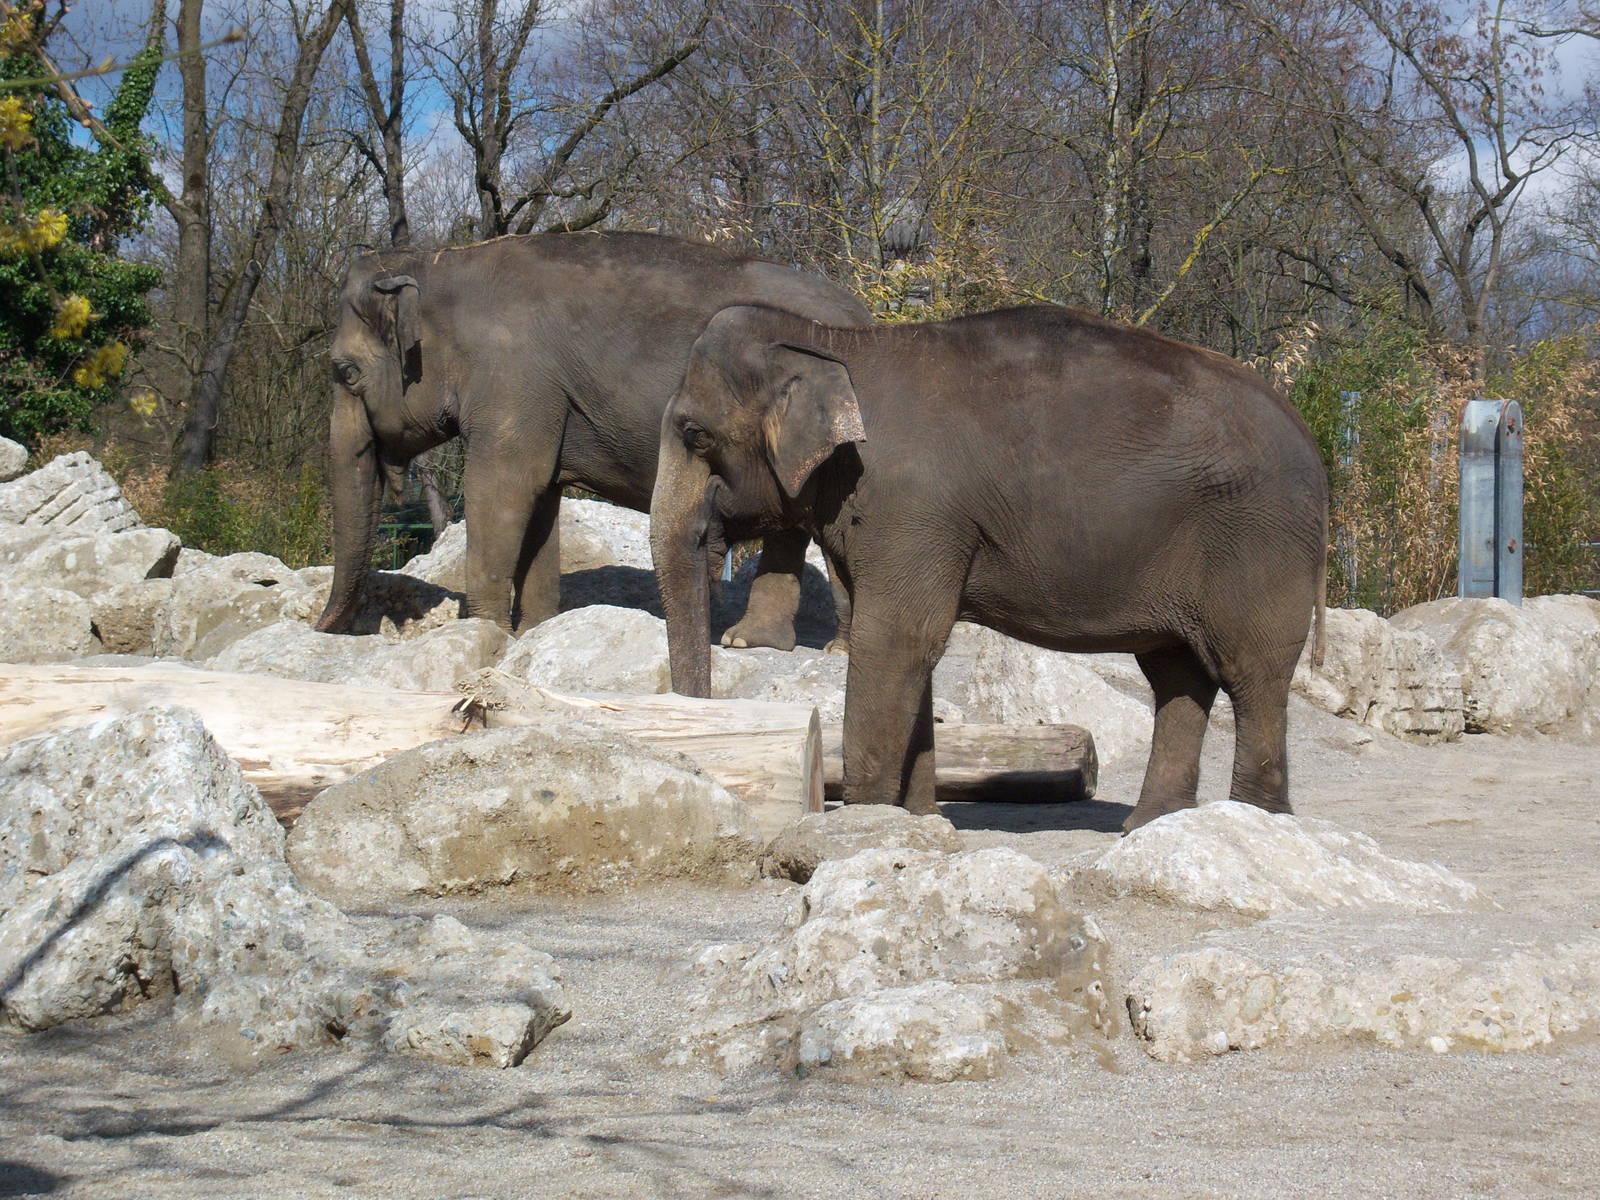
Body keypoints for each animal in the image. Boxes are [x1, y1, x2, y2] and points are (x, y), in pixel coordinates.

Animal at [315, 231, 870, 648]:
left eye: (346, 372)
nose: (326, 629)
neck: (441, 260)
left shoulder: (513, 376)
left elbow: (503, 487)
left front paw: (484, 632)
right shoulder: (540, 396)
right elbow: (541, 496)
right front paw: (535, 630)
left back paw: (816, 647)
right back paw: (762, 643)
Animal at [650, 303, 1329, 832]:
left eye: (695, 433)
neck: (835, 343)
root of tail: (1310, 440)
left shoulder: (911, 508)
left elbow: (895, 639)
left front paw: (866, 824)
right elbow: (907, 644)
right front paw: (921, 822)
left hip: (1262, 545)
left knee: (1253, 675)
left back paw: (1257, 822)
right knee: (1178, 675)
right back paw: (1153, 827)